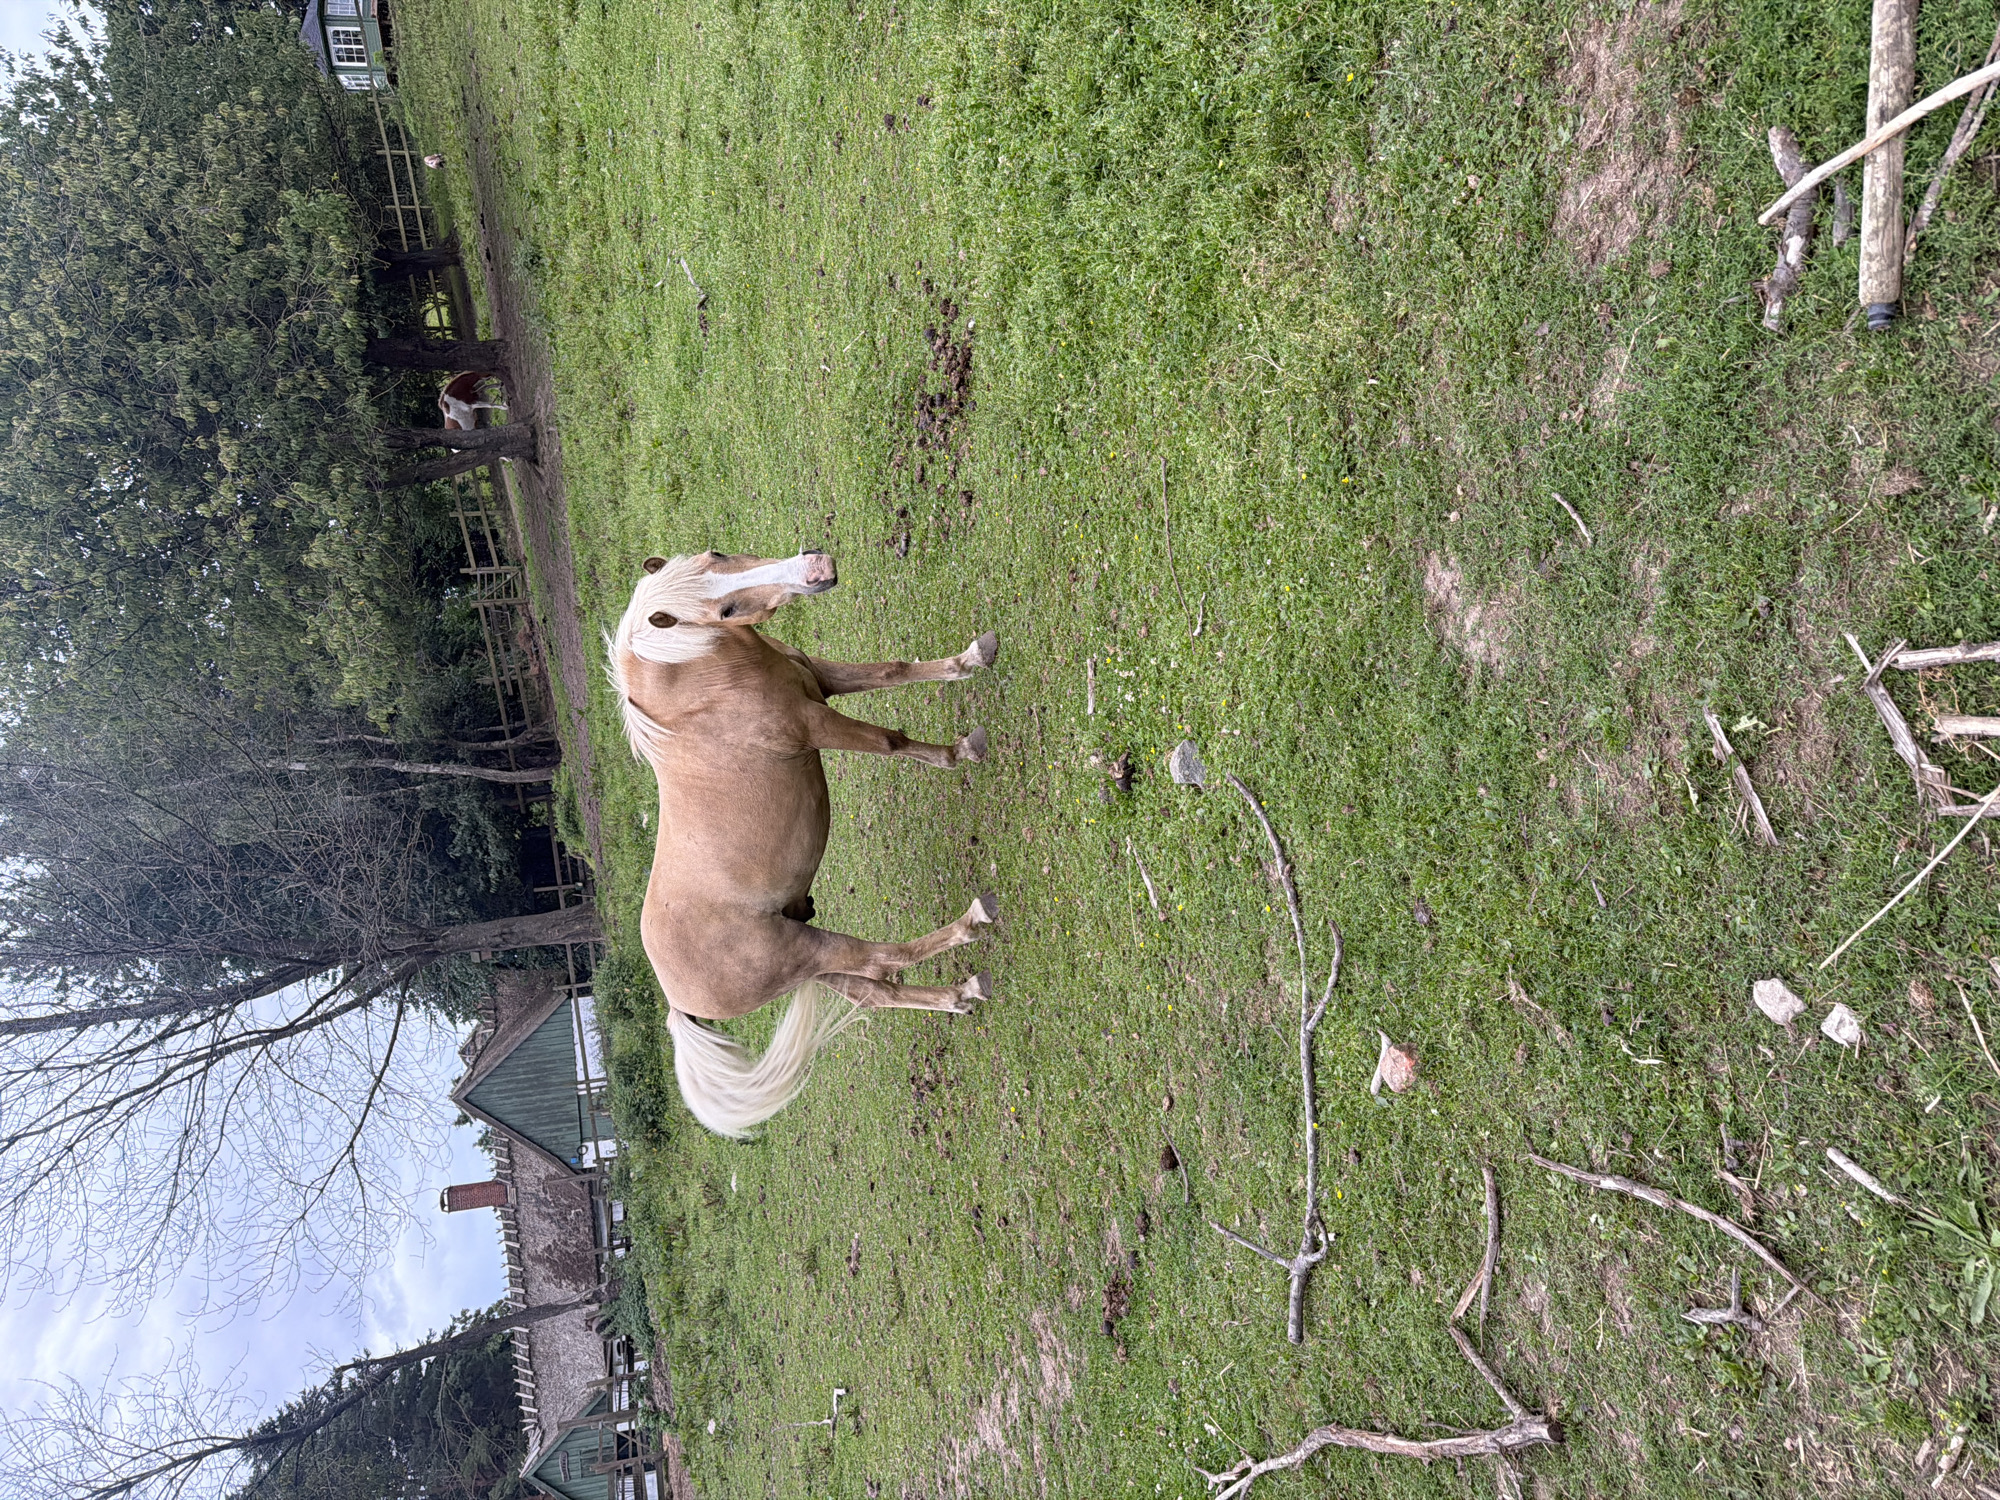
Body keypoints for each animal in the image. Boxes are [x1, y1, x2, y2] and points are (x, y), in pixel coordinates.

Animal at [606, 549, 1001, 1138]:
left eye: (716, 556)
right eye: (723, 611)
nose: (815, 567)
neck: (700, 692)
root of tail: (675, 998)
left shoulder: (821, 677)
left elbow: (894, 670)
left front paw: (973, 657)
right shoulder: (816, 722)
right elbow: (891, 742)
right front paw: (961, 752)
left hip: (816, 963)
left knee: (877, 988)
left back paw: (962, 995)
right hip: (808, 950)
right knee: (883, 961)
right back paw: (974, 921)